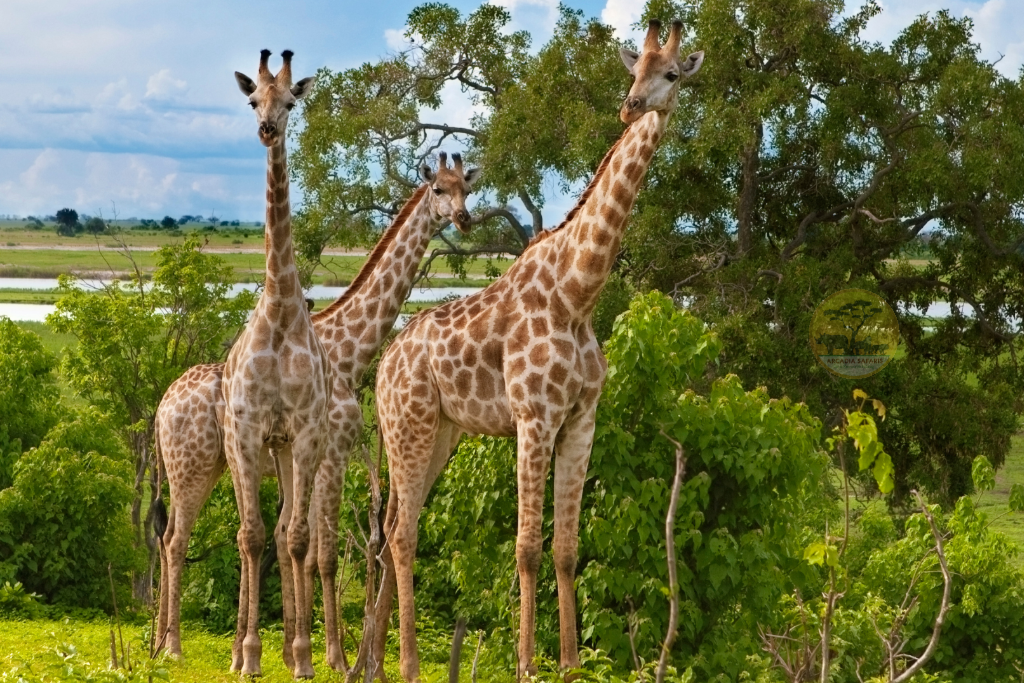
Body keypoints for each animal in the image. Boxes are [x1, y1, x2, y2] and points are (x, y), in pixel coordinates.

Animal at [153, 154, 481, 672]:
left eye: (466, 189)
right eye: (438, 191)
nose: (465, 218)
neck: (350, 350)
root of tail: (161, 408)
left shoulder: (303, 455)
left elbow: (290, 539)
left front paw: (288, 650)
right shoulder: (333, 454)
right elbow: (320, 554)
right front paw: (334, 657)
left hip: (210, 465)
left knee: (180, 538)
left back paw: (176, 643)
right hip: (194, 466)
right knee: (176, 540)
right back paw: (174, 647)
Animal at [372, 20, 704, 681]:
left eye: (672, 72)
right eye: (633, 70)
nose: (632, 105)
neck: (577, 293)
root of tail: (382, 368)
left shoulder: (581, 419)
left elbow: (568, 548)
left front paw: (572, 663)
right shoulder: (533, 417)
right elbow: (527, 546)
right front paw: (527, 663)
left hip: (441, 432)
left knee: (398, 522)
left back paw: (384, 658)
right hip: (408, 426)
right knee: (403, 533)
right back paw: (409, 663)